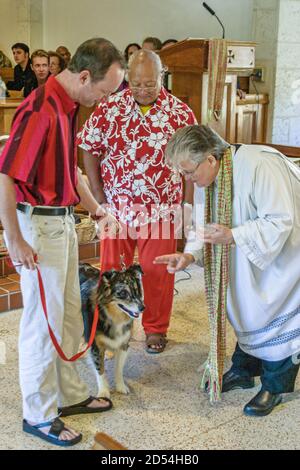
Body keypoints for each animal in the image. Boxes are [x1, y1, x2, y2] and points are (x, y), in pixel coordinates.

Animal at [79, 262, 145, 398]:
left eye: (137, 291)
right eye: (123, 293)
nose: (143, 308)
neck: (113, 317)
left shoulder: (123, 344)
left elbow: (119, 369)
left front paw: (120, 386)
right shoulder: (96, 346)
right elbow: (100, 370)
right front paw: (104, 392)